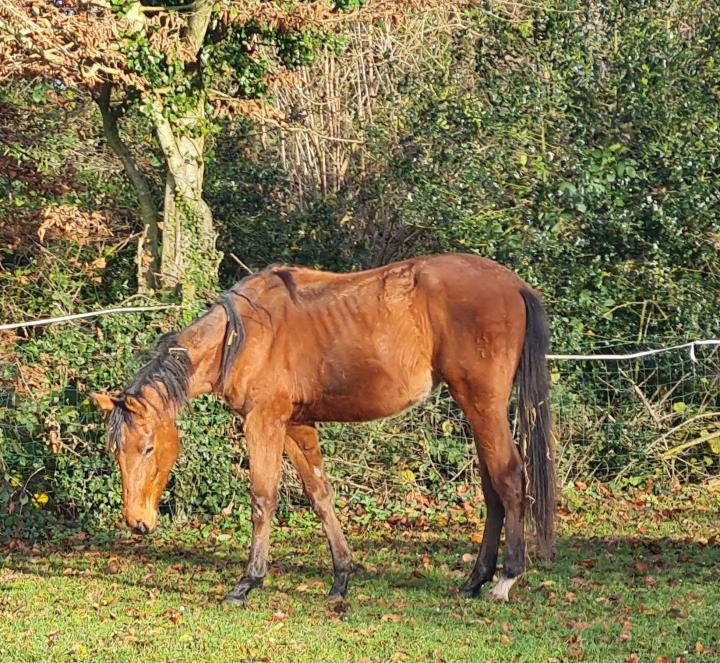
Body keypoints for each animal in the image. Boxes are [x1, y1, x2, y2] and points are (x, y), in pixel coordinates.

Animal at [88, 254, 552, 608]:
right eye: (117, 451)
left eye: (148, 448)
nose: (137, 522)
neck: (241, 337)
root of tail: (513, 285)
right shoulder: (297, 425)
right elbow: (320, 495)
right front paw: (341, 578)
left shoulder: (263, 421)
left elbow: (263, 498)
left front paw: (247, 582)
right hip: (477, 411)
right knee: (492, 489)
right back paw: (475, 579)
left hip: (483, 406)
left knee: (510, 479)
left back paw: (505, 580)